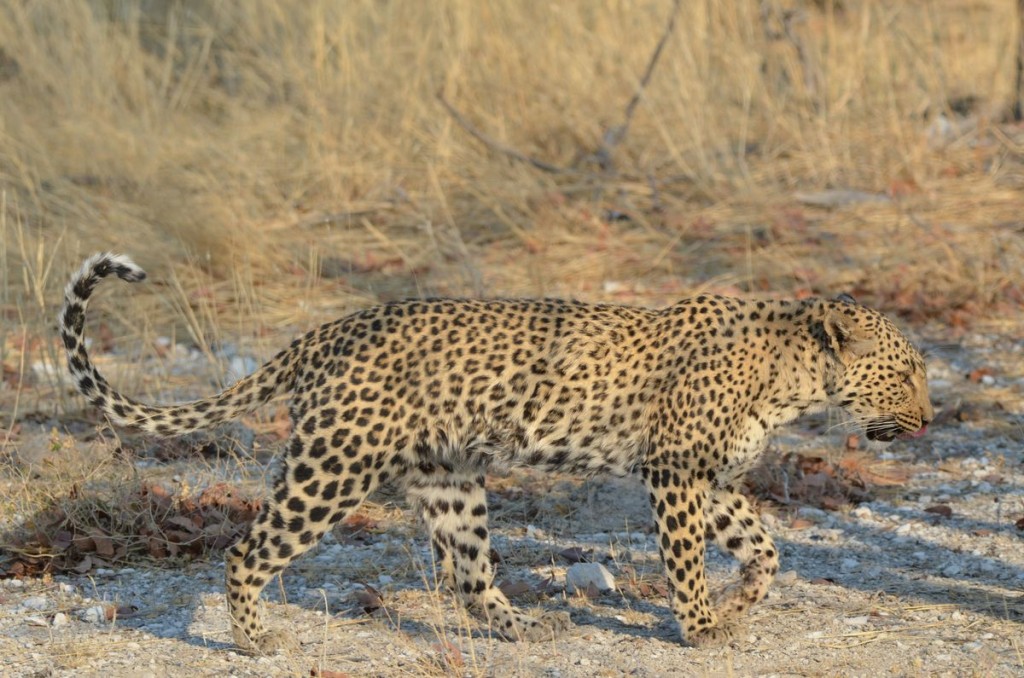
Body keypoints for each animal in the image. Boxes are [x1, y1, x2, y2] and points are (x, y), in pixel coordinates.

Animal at [59, 252, 932, 653]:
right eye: (907, 372)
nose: (929, 419)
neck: (795, 380)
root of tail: (328, 330)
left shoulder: (704, 477)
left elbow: (766, 545)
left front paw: (741, 602)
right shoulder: (675, 471)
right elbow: (688, 560)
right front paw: (699, 625)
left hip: (449, 477)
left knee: (470, 575)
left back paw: (524, 630)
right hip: (333, 465)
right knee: (247, 551)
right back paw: (253, 640)